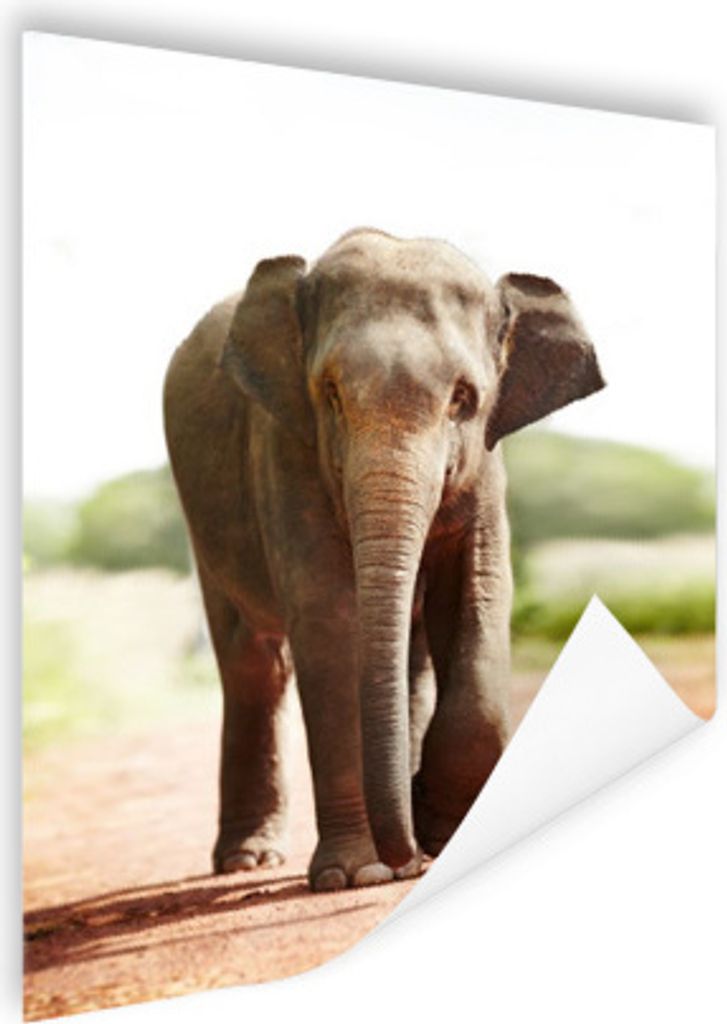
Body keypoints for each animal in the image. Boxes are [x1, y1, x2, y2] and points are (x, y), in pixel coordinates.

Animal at [163, 227, 604, 892]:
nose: (405, 854)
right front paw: (358, 875)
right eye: (331, 395)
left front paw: (435, 834)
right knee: (252, 664)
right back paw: (248, 860)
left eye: (463, 399)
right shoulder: (285, 448)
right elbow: (330, 619)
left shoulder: (485, 466)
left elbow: (477, 598)